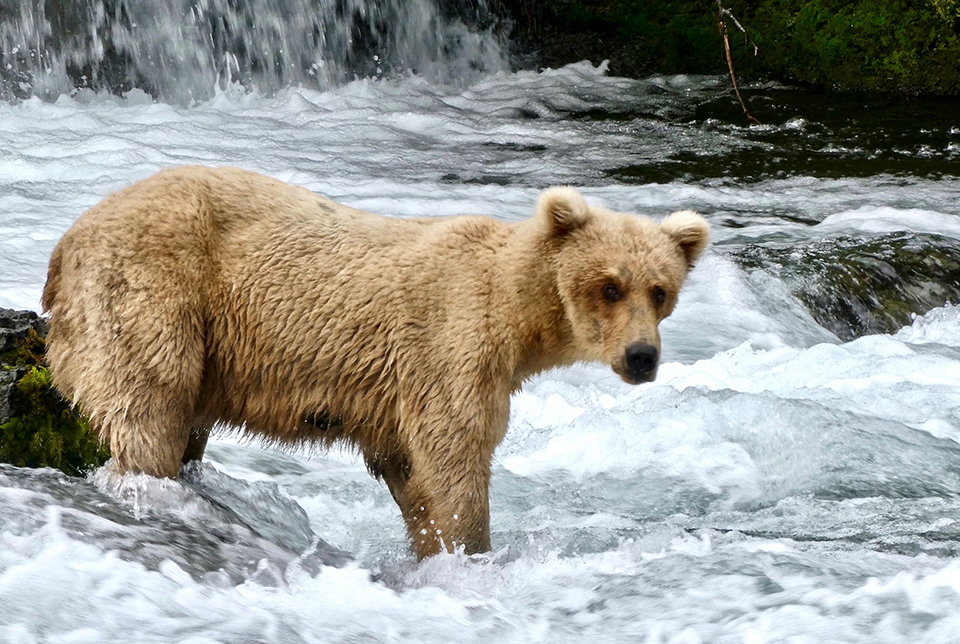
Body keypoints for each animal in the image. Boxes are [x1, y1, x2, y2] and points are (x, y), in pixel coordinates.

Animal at [41, 166, 709, 559]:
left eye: (660, 290)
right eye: (610, 286)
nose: (642, 356)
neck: (516, 318)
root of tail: (66, 243)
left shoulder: (398, 397)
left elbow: (411, 477)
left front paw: (431, 550)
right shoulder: (451, 343)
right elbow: (455, 455)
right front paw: (474, 551)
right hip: (157, 291)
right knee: (149, 404)